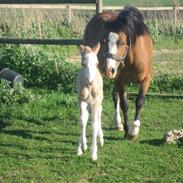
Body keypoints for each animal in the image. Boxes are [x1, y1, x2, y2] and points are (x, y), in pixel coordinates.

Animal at [84, 6, 153, 139]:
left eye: (122, 43)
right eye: (104, 41)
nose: (108, 69)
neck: (132, 59)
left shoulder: (146, 79)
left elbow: (140, 101)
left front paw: (134, 130)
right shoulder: (120, 80)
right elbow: (124, 105)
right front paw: (128, 131)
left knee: (114, 94)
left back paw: (118, 124)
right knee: (111, 96)